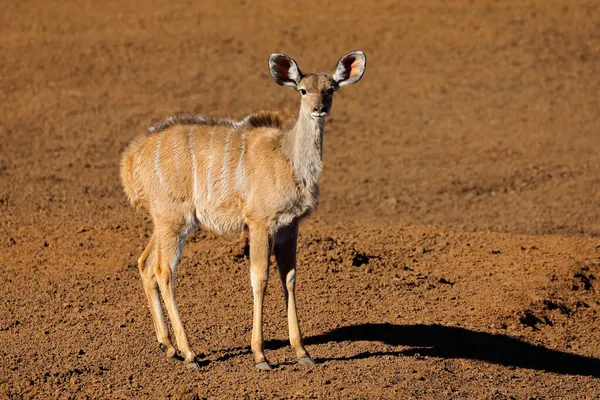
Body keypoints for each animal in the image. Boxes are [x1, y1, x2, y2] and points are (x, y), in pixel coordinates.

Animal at [119, 51, 366, 370]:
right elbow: (259, 278)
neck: (288, 158)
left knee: (146, 263)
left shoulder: (289, 227)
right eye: (302, 90)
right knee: (164, 270)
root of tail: (132, 158)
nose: (318, 109)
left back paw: (168, 347)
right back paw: (190, 354)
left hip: (167, 222)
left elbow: (289, 278)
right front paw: (261, 356)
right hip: (173, 221)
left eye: (330, 89)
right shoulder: (259, 223)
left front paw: (303, 353)